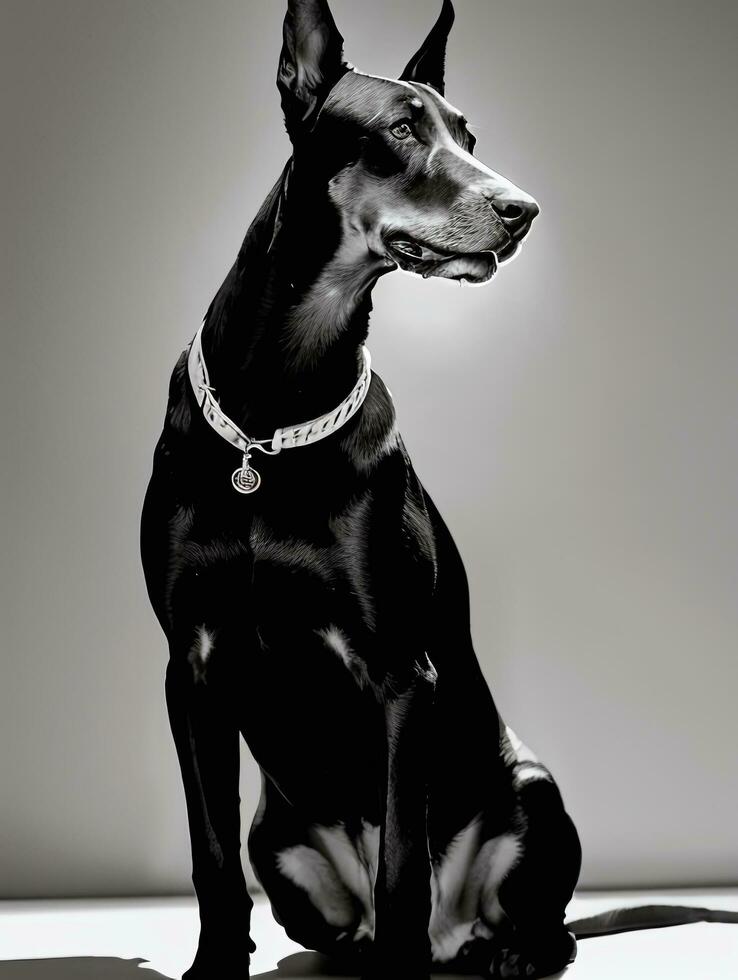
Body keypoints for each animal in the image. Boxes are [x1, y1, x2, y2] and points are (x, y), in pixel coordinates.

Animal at [141, 3, 596, 976]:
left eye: (468, 136)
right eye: (400, 131)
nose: (522, 210)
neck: (274, 416)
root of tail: (458, 937)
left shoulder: (399, 676)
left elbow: (399, 864)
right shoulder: (189, 669)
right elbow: (208, 852)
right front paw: (213, 965)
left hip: (533, 793)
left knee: (541, 924)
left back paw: (499, 952)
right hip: (279, 839)